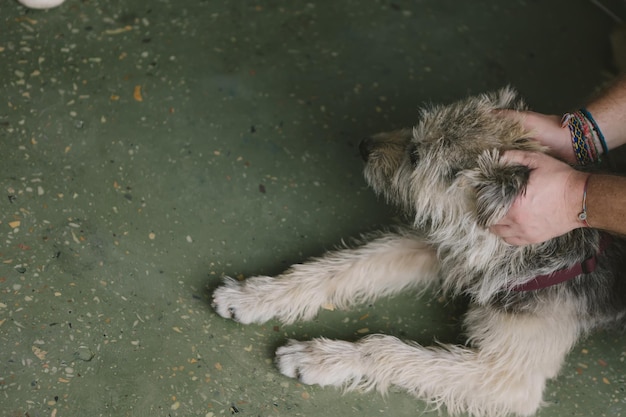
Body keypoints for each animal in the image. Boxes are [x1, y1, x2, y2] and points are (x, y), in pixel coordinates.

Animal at [211, 88, 624, 416]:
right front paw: (255, 295)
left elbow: (385, 348)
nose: (364, 145)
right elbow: (341, 267)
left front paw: (321, 357)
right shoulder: (437, 245)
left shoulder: (507, 376)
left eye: (415, 156)